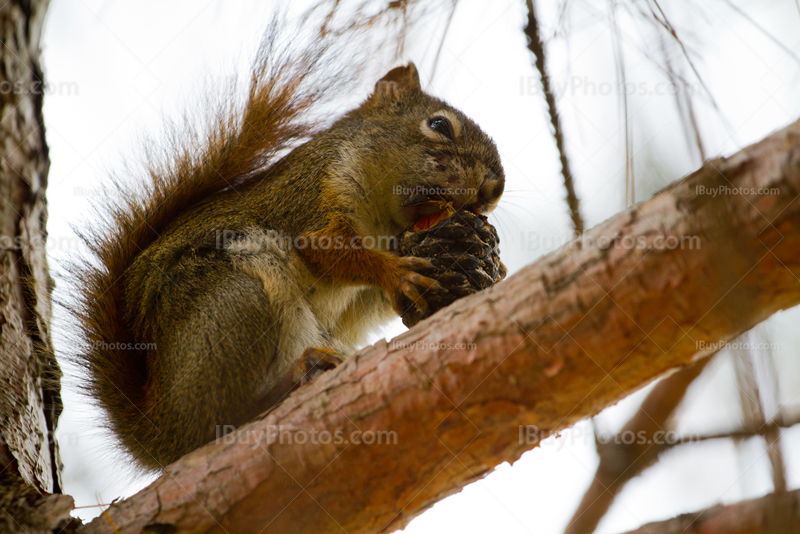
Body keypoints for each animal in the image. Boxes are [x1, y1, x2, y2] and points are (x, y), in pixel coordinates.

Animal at [70, 53, 506, 474]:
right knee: (216, 424)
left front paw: (493, 271)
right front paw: (396, 272)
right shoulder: (312, 194)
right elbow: (330, 251)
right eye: (439, 125)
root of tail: (160, 430)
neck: (384, 222)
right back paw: (293, 377)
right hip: (237, 302)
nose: (493, 190)